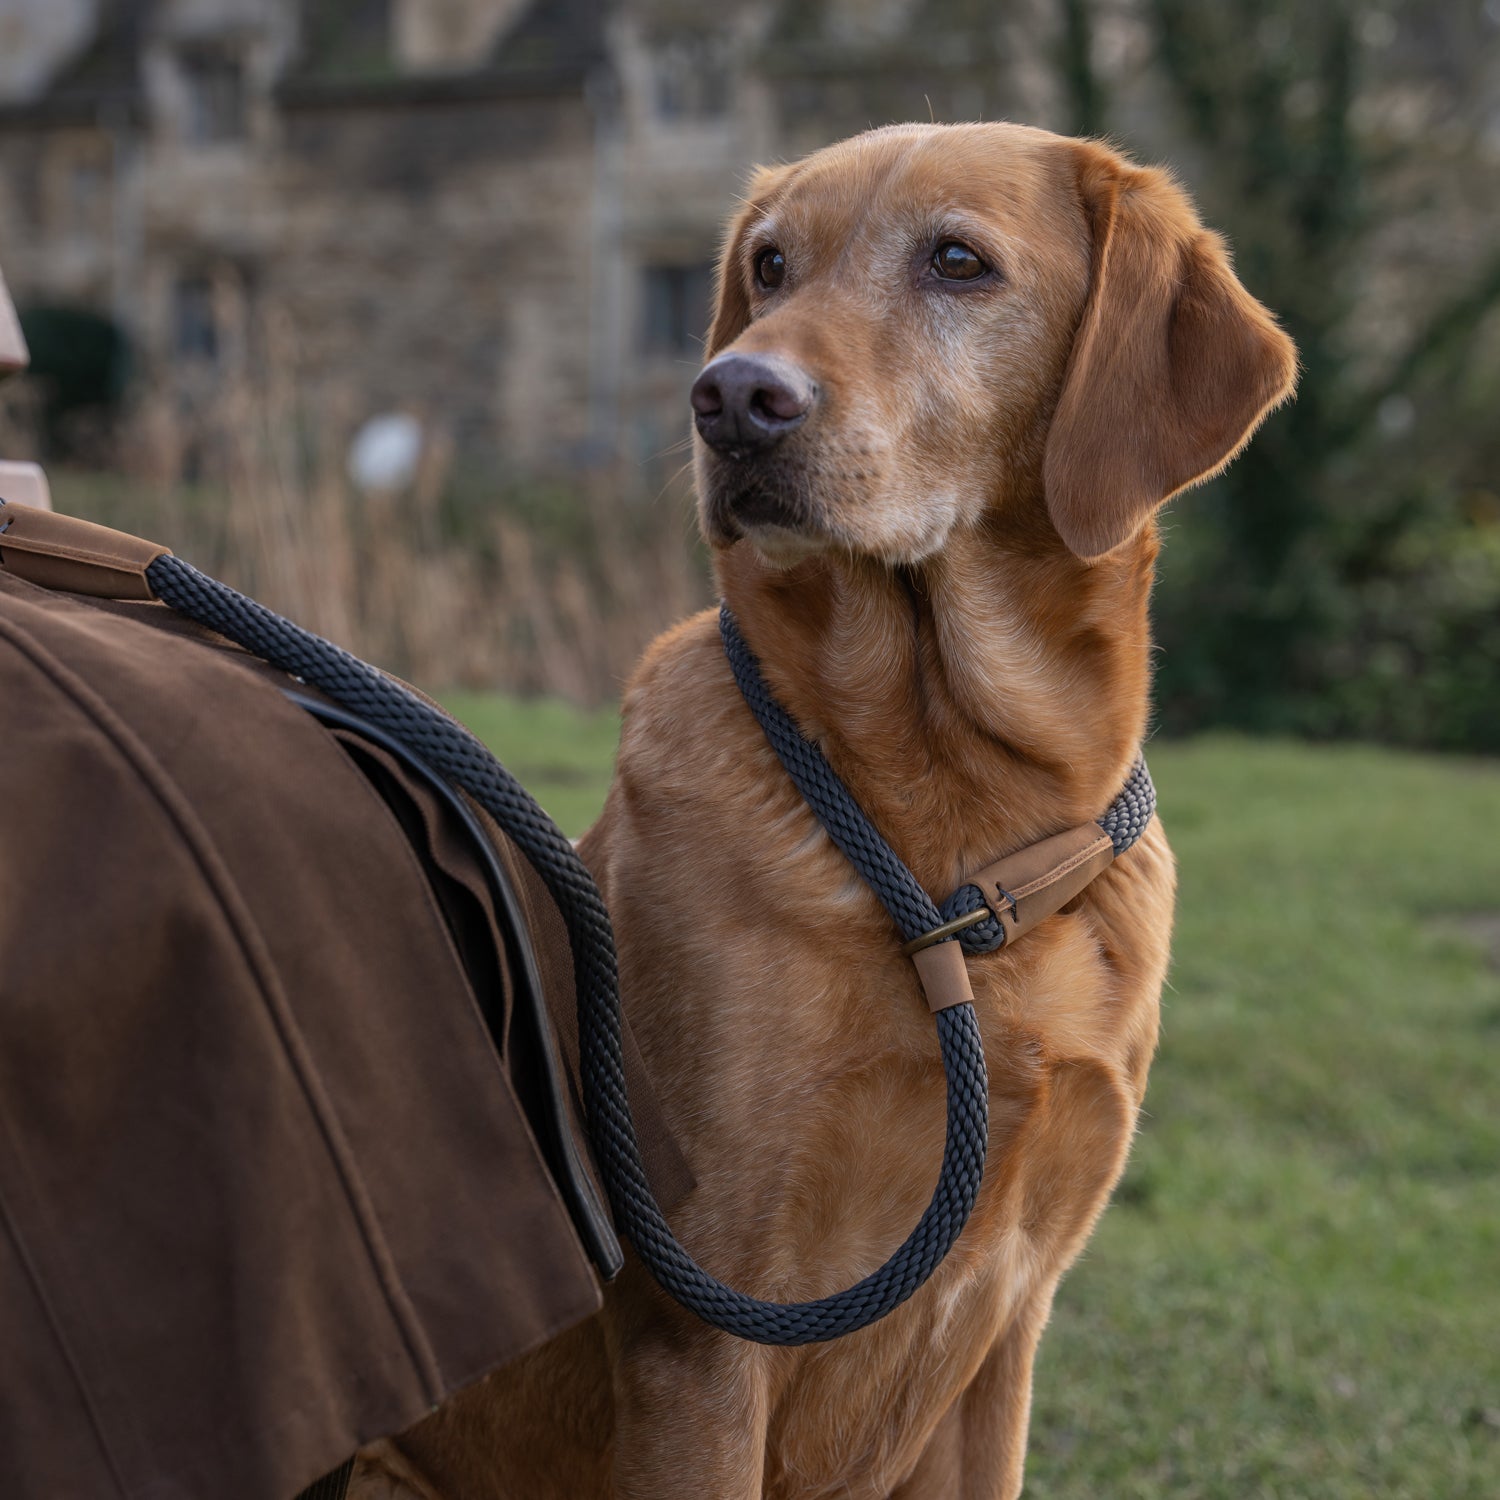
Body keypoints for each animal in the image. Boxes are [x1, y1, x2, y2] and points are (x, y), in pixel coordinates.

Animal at [357, 120, 1296, 1500]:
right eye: (769, 265)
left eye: (957, 261)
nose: (732, 399)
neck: (958, 837)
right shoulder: (707, 1325)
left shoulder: (1006, 1328)